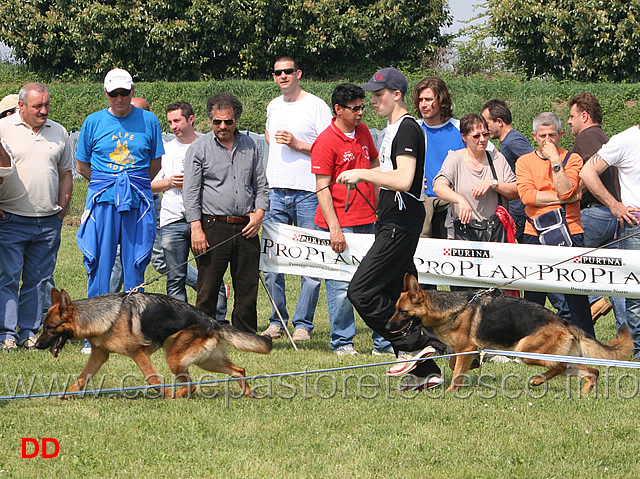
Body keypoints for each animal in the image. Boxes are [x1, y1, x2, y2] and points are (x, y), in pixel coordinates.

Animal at [34, 288, 272, 398]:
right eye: (43, 326)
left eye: (50, 328)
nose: (36, 346)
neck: (104, 317)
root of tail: (212, 321)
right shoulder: (99, 355)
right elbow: (82, 378)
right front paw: (66, 395)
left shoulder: (138, 353)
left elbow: (153, 379)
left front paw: (164, 394)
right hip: (206, 361)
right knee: (238, 370)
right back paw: (247, 393)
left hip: (176, 359)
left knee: (191, 385)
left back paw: (175, 396)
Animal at [388, 276, 632, 396]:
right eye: (396, 309)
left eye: (402, 311)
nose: (388, 326)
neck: (451, 310)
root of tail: (564, 322)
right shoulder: (462, 351)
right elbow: (453, 365)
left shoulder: (466, 349)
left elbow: (456, 372)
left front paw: (450, 392)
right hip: (559, 356)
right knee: (592, 371)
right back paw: (584, 392)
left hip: (525, 352)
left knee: (560, 366)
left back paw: (537, 380)